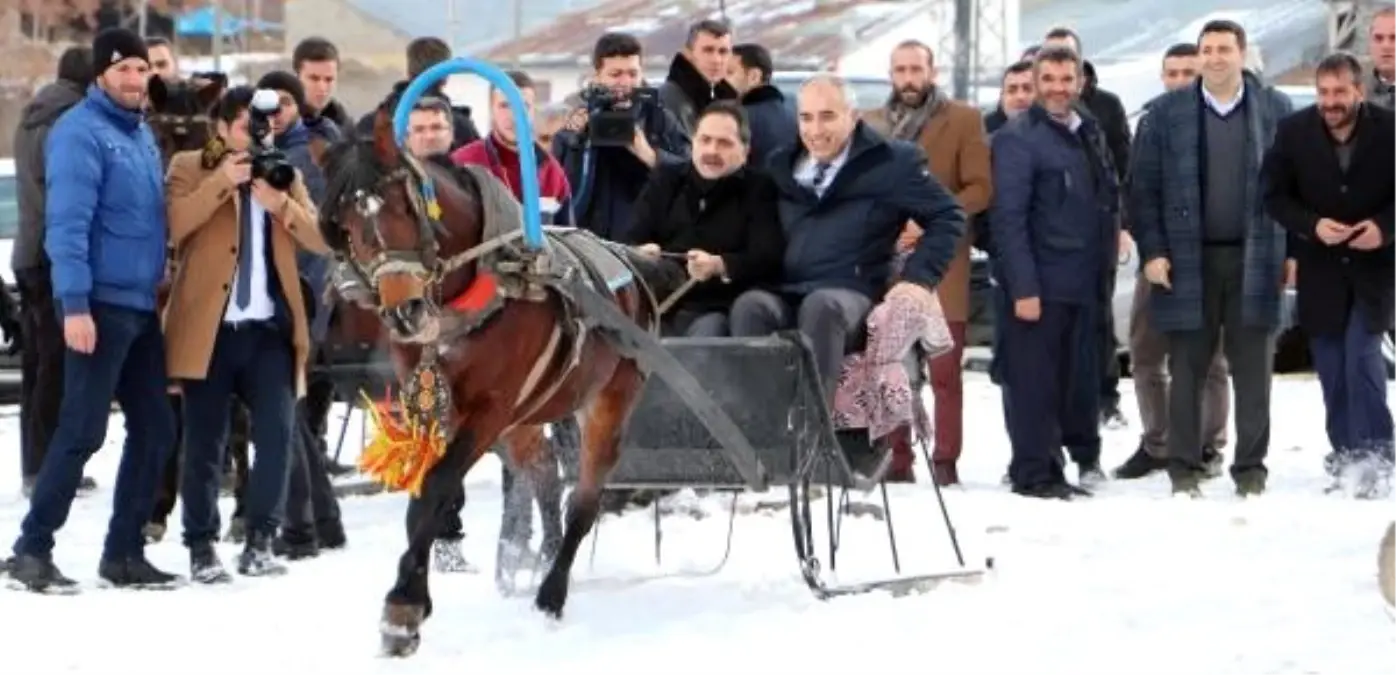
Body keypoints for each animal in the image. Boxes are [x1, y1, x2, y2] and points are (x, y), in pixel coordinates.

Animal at [318, 109, 686, 652]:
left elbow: (436, 486)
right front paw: (415, 596)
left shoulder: (492, 408)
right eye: (346, 226)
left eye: (405, 206)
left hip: (609, 400)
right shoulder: (432, 402)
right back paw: (539, 561)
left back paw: (552, 593)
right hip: (527, 417)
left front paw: (403, 607)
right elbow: (427, 491)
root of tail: (631, 268)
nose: (405, 312)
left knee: (584, 499)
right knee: (545, 475)